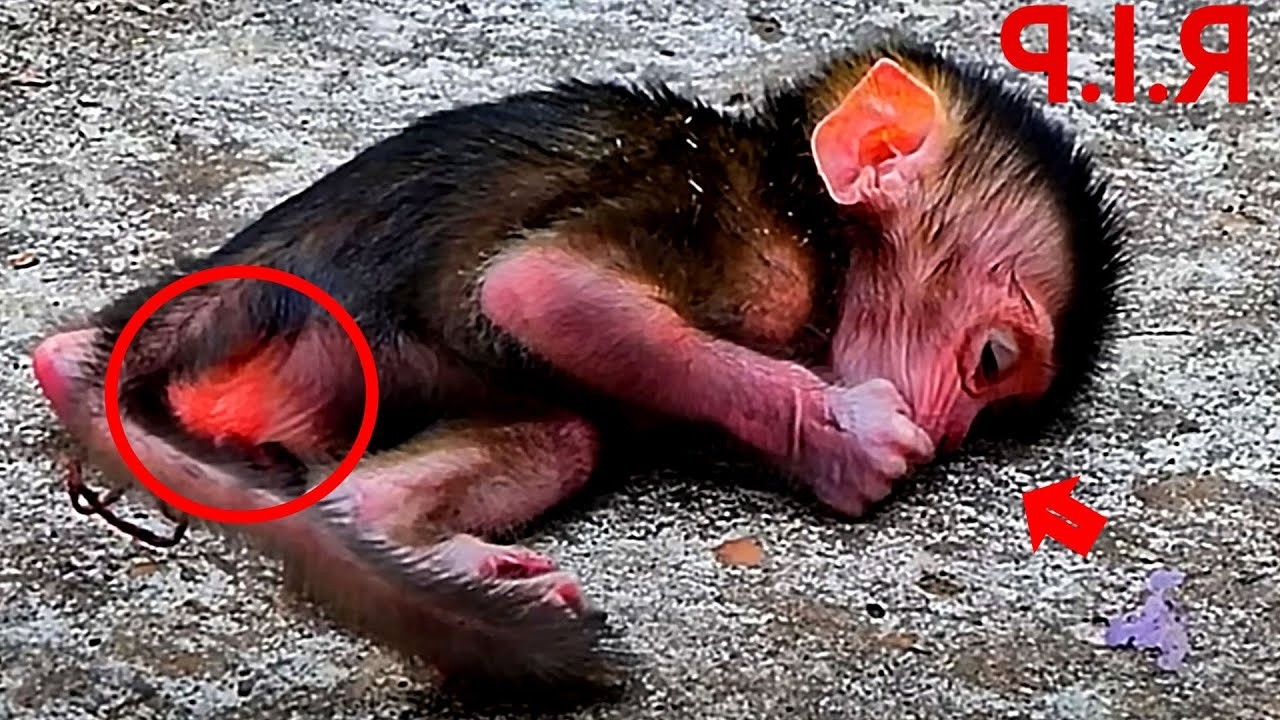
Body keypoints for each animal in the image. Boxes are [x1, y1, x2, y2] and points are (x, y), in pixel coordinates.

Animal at [30, 37, 1128, 693]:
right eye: (990, 361)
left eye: (991, 410)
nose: (949, 430)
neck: (806, 208)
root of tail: (177, 319)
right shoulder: (746, 245)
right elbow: (541, 289)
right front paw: (844, 437)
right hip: (329, 350)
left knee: (555, 437)